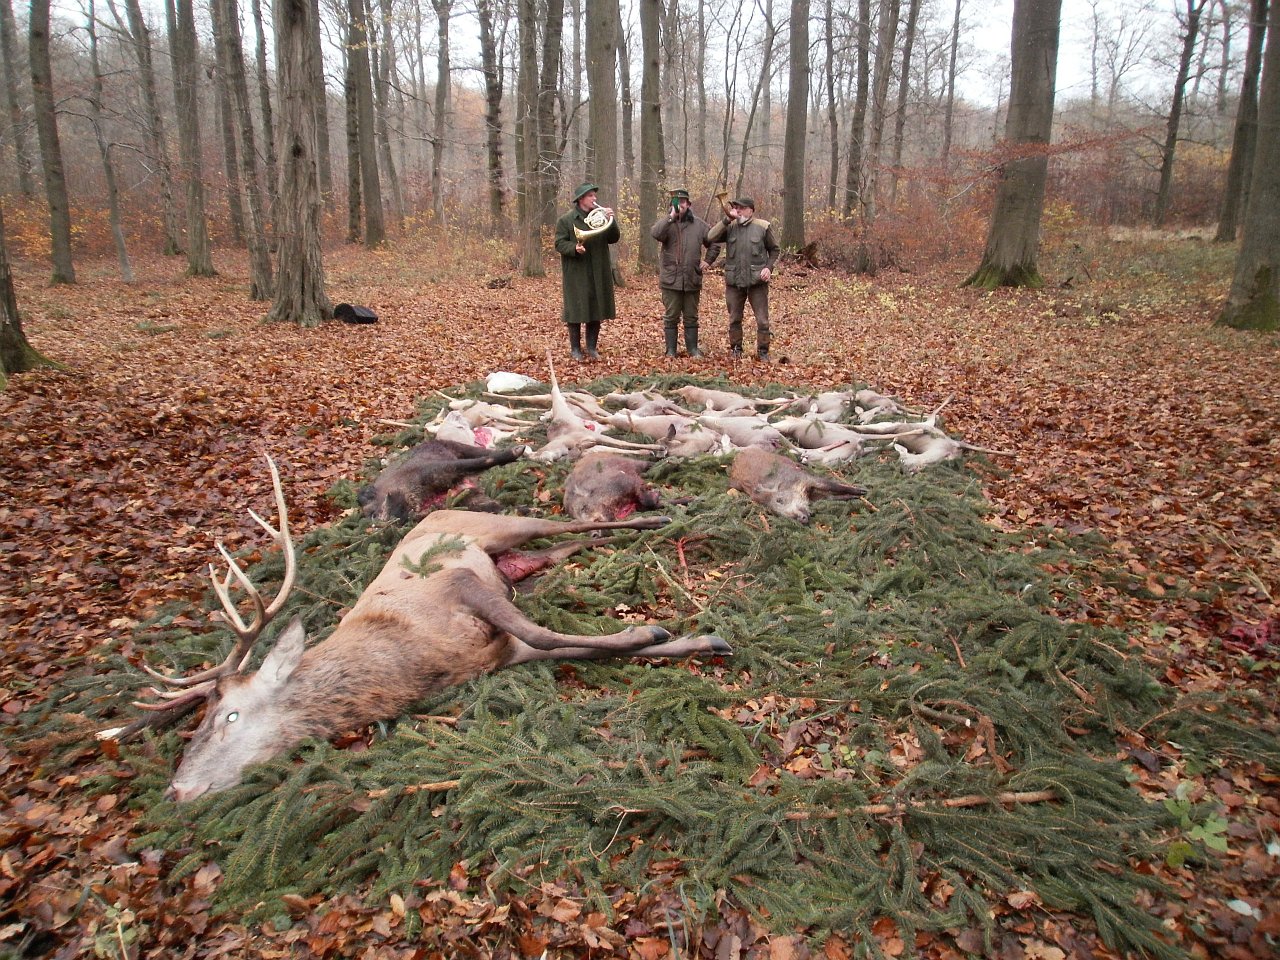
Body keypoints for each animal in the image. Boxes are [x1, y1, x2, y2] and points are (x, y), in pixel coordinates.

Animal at [99, 457, 730, 802]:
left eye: (228, 715)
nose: (176, 789)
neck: (411, 667)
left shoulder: (457, 584)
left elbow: (550, 635)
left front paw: (655, 633)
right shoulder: (501, 652)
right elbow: (569, 647)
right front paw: (691, 639)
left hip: (495, 529)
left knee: (565, 524)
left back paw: (658, 516)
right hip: (519, 560)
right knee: (572, 544)